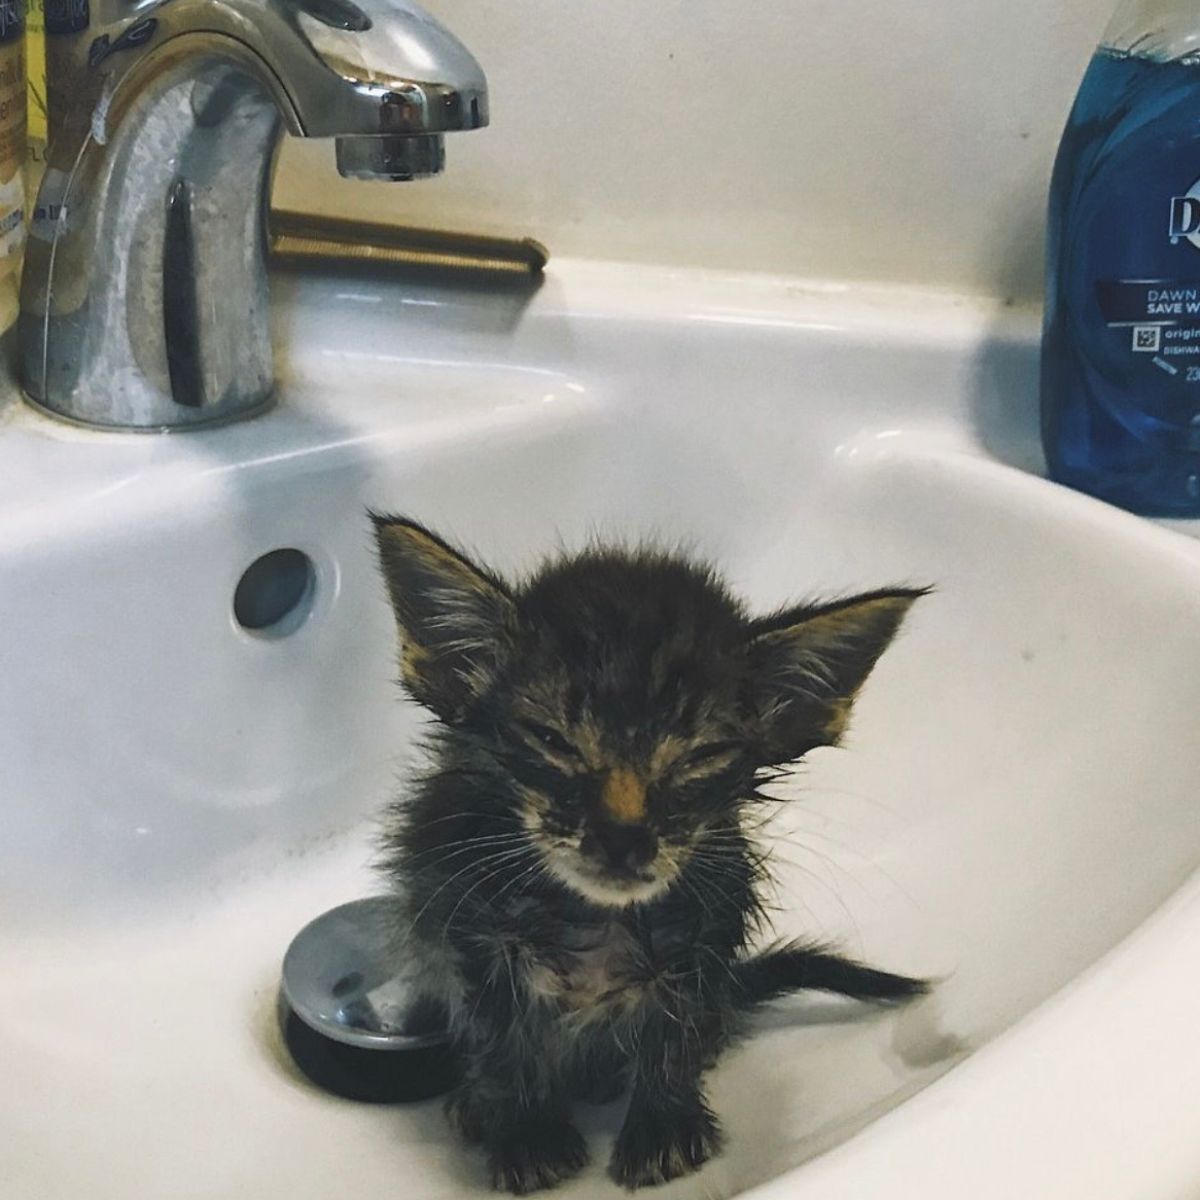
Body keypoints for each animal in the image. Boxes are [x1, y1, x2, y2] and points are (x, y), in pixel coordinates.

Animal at [374, 520, 926, 1195]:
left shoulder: (702, 936)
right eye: (553, 741)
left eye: (698, 757)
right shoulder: (472, 929)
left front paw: (664, 1129)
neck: (592, 918)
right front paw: (527, 1130)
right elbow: (501, 1036)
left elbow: (674, 1032)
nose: (623, 836)